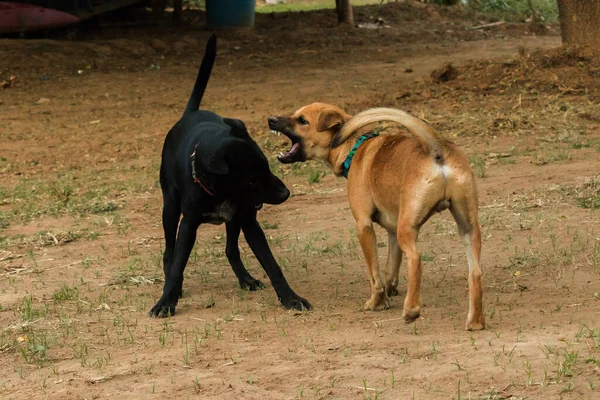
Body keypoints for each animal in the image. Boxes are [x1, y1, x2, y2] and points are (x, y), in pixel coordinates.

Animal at [149, 34, 310, 318]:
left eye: (267, 167)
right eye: (251, 179)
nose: (286, 193)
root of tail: (188, 115)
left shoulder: (249, 220)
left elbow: (272, 264)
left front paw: (290, 298)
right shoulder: (188, 224)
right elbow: (178, 264)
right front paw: (166, 301)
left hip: (235, 221)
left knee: (231, 250)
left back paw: (245, 279)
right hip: (170, 207)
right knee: (169, 251)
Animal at [270, 104, 486, 332]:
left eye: (302, 120)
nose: (271, 120)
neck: (354, 147)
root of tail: (437, 146)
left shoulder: (364, 226)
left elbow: (374, 273)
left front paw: (377, 302)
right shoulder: (392, 231)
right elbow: (389, 268)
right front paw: (389, 292)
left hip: (407, 230)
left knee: (416, 258)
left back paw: (411, 310)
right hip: (467, 228)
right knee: (475, 272)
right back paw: (475, 321)